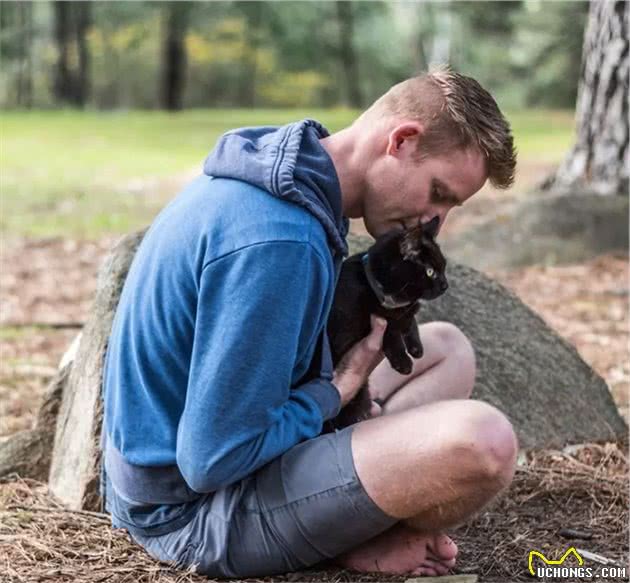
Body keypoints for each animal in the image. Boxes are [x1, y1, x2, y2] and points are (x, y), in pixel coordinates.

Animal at [326, 217, 450, 432]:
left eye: (443, 267)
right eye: (430, 272)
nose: (445, 285)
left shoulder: (406, 310)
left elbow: (410, 321)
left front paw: (416, 347)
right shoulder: (358, 323)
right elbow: (391, 332)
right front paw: (403, 361)